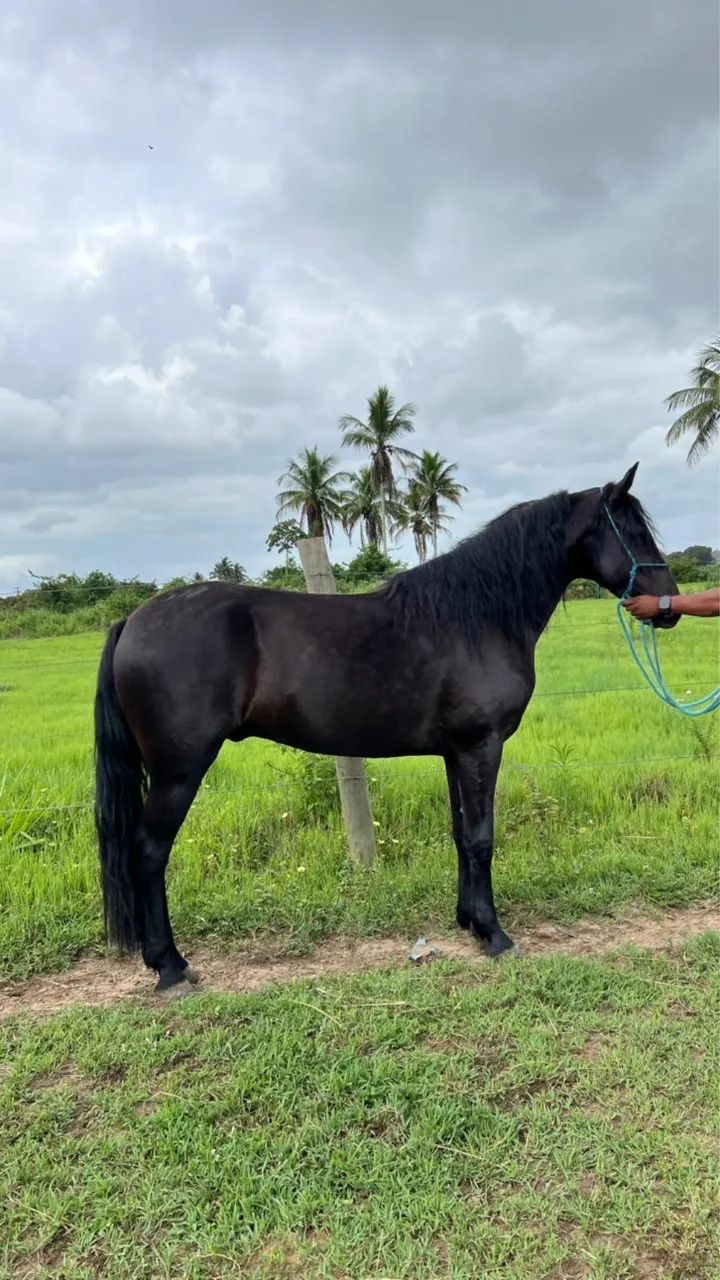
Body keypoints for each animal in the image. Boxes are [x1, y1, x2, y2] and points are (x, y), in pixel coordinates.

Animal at [94, 462, 677, 993]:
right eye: (632, 530)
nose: (667, 605)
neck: (477, 618)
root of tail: (133, 621)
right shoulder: (481, 747)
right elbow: (482, 838)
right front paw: (495, 935)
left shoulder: (455, 752)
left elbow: (461, 835)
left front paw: (468, 922)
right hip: (179, 770)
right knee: (149, 850)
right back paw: (170, 968)